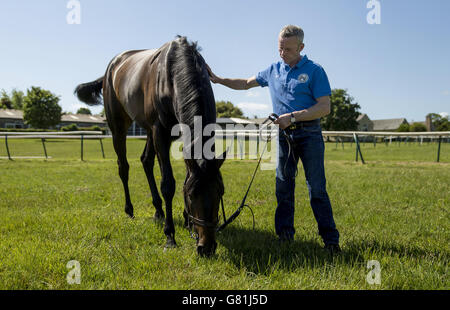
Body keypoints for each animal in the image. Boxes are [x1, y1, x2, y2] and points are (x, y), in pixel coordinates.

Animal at [76, 36, 229, 256]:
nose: (206, 247)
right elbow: (168, 184)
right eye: (192, 196)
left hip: (148, 130)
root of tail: (112, 68)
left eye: (220, 192)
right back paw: (130, 210)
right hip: (119, 127)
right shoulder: (161, 132)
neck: (172, 74)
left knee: (146, 161)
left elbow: (185, 175)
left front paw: (187, 221)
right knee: (123, 167)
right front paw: (170, 236)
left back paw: (158, 210)